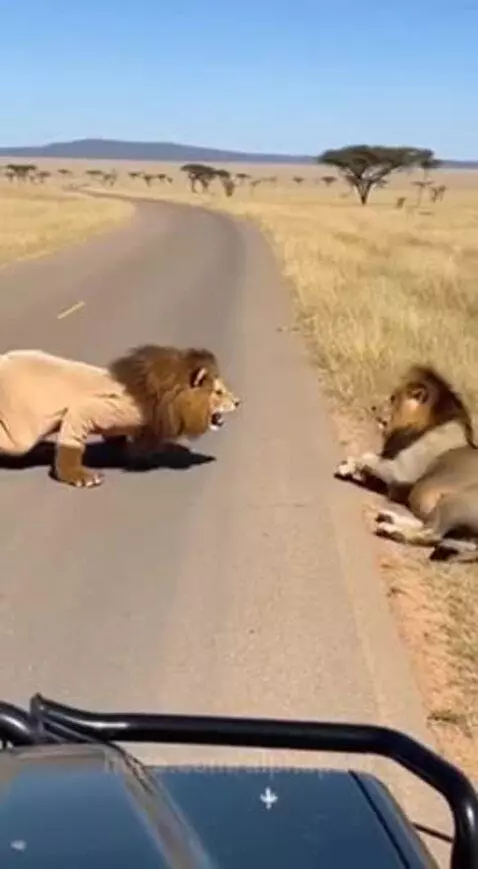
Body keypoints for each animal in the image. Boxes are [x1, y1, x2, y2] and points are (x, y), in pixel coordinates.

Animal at [0, 345, 240, 487]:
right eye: (218, 392)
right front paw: (83, 477)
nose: (238, 402)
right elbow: (72, 442)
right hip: (20, 433)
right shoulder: (96, 408)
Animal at [334, 364, 478, 562]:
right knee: (428, 525)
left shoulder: (401, 472)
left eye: (393, 398)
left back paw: (391, 529)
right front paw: (351, 468)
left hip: (456, 501)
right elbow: (369, 459)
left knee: (432, 533)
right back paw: (389, 517)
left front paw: (345, 466)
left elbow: (367, 457)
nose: (373, 407)